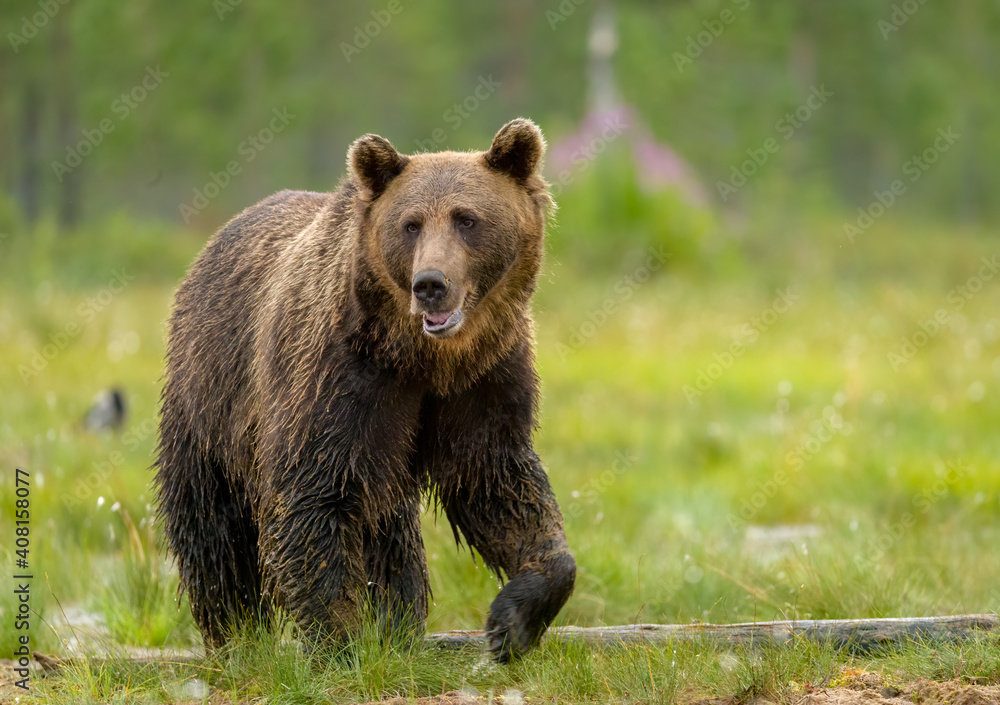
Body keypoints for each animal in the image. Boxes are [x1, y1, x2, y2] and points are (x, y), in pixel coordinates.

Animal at [156, 118, 580, 664]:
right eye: (411, 223)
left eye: (466, 219)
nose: (431, 284)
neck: (420, 358)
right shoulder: (337, 376)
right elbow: (313, 493)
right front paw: (340, 640)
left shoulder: (485, 378)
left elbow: (496, 480)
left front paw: (511, 623)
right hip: (208, 400)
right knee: (213, 528)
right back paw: (237, 636)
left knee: (389, 530)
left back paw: (399, 622)